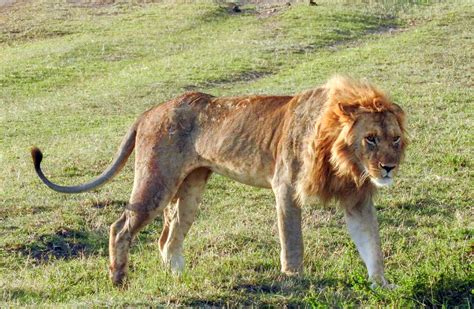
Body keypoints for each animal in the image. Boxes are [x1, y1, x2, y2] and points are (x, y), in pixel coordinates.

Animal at [30, 76, 408, 288]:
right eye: (370, 139)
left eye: (395, 139)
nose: (388, 168)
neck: (344, 161)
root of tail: (149, 111)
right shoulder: (285, 187)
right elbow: (292, 241)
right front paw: (293, 279)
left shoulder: (357, 199)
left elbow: (372, 244)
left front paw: (383, 286)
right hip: (157, 181)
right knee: (120, 226)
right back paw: (118, 279)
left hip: (191, 188)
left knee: (168, 238)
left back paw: (179, 279)